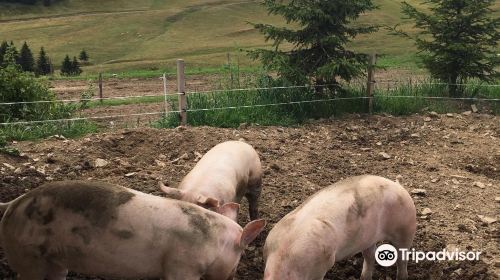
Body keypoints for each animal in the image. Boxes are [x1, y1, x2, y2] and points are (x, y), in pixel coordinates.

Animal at [0, 180, 266, 278]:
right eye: (239, 257)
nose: (232, 275)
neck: (213, 242)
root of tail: (12, 203)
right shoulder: (181, 266)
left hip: (55, 261)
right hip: (27, 256)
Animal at [264, 175, 416, 280]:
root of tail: (399, 186)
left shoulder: (322, 266)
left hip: (406, 227)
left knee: (402, 258)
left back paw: (402, 277)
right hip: (368, 238)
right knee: (370, 256)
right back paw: (363, 278)